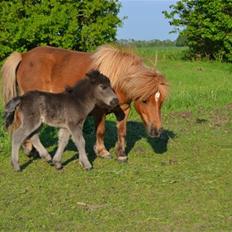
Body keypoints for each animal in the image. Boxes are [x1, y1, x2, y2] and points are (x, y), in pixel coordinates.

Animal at [2, 44, 169, 161]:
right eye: (145, 100)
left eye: (161, 101)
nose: (157, 131)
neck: (117, 80)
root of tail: (24, 55)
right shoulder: (100, 111)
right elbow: (101, 130)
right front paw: (102, 151)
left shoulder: (124, 109)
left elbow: (122, 131)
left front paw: (121, 153)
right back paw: (28, 149)